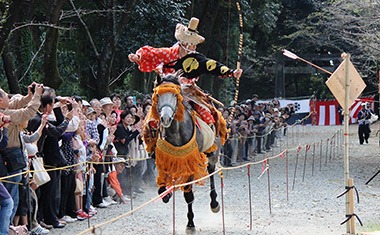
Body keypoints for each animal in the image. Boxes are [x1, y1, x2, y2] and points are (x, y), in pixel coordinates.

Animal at [146, 73, 223, 233]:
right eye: (157, 95)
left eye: (175, 95)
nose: (165, 118)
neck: (177, 133)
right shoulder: (164, 160)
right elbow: (162, 188)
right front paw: (166, 193)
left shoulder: (190, 162)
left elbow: (188, 195)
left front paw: (190, 223)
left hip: (213, 153)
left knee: (211, 173)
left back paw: (214, 204)